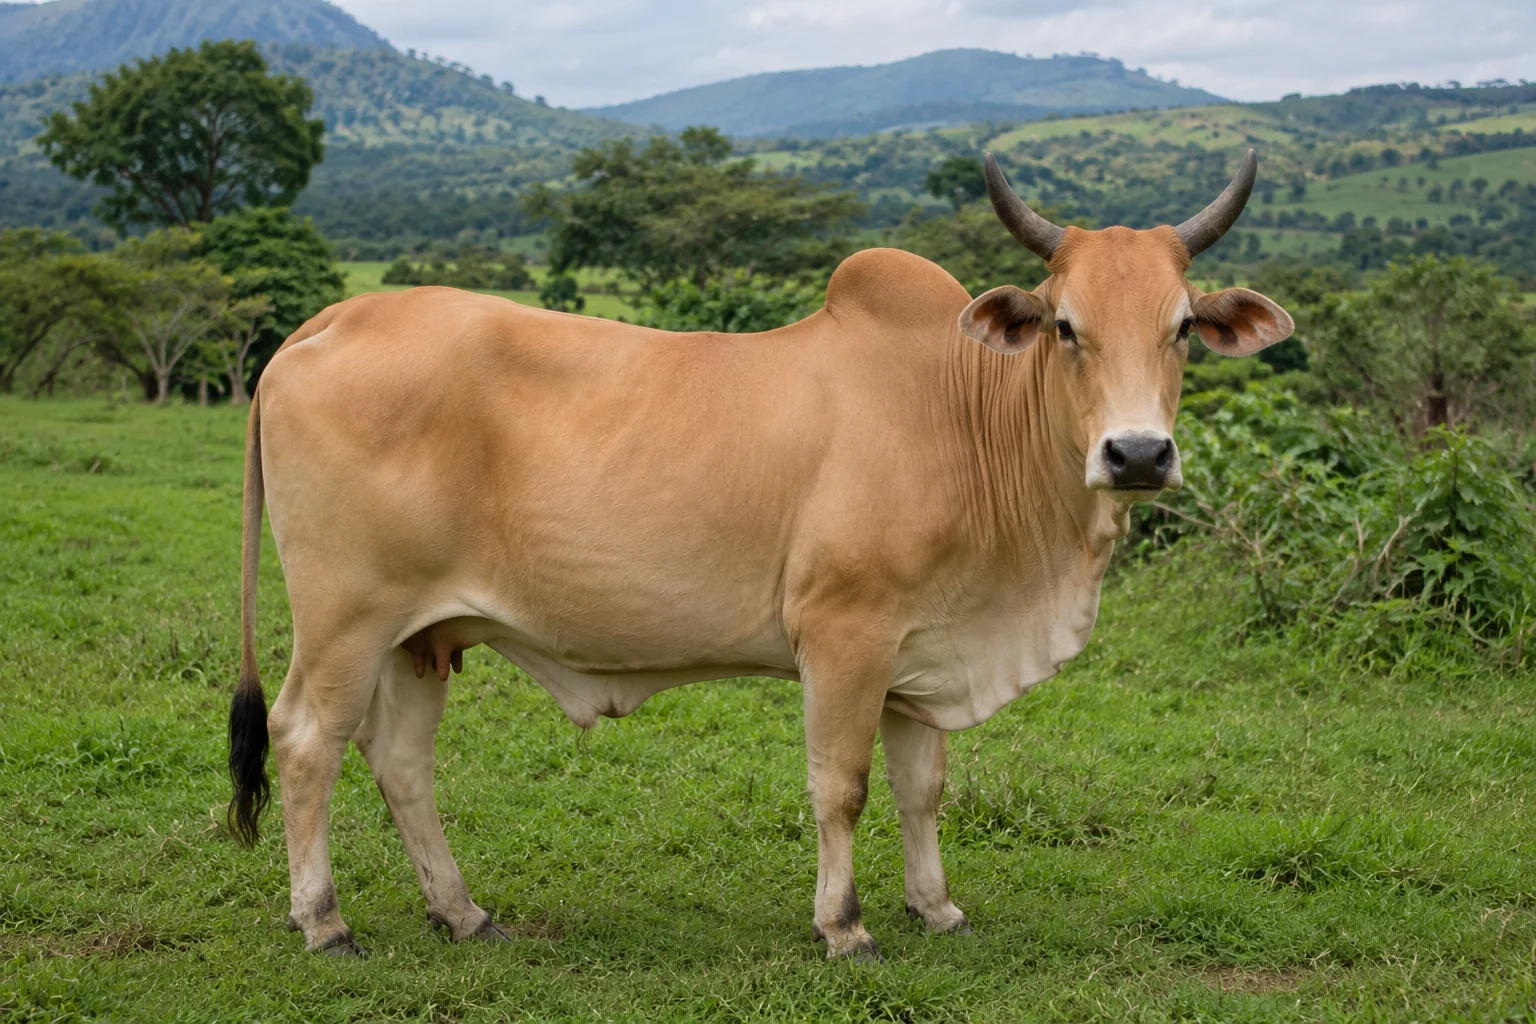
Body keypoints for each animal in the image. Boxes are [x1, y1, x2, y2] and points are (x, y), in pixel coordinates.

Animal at [227, 149, 1292, 959]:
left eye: (1183, 328)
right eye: (1066, 326)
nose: (1138, 454)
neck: (964, 414)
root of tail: (327, 322)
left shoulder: (923, 652)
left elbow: (923, 788)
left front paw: (937, 907)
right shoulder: (844, 635)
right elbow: (842, 786)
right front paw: (845, 926)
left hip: (423, 635)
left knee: (401, 762)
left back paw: (461, 911)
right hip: (346, 619)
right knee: (307, 741)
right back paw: (323, 923)